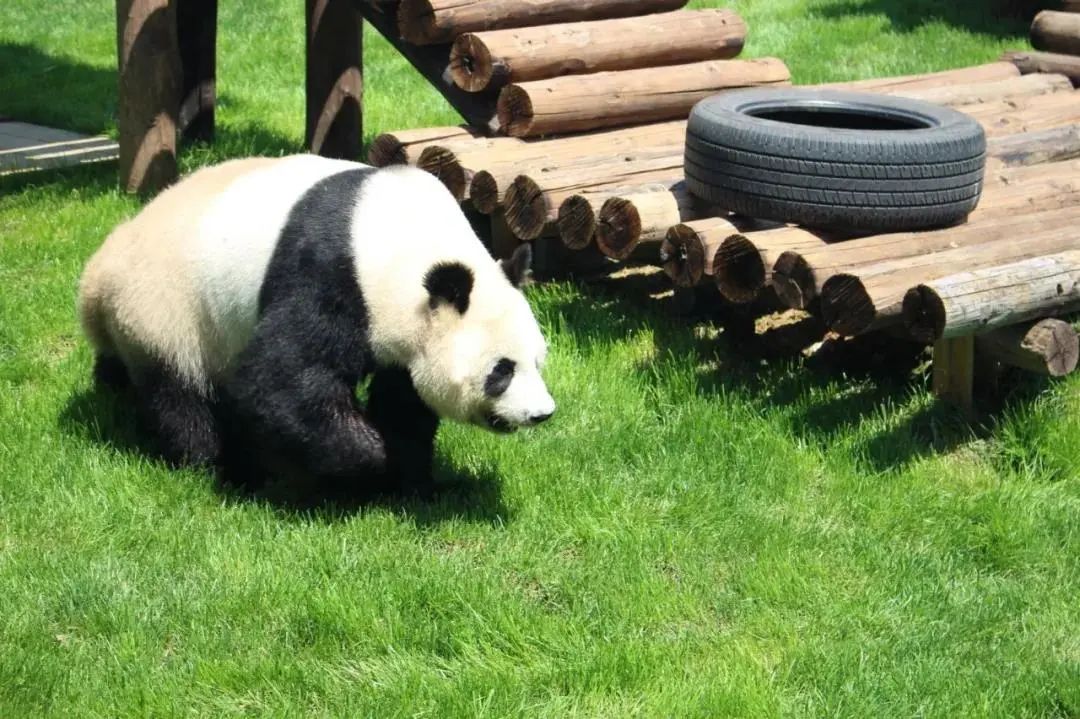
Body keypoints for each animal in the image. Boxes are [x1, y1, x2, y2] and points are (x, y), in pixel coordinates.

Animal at [78, 153, 557, 490]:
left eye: (538, 361)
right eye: (501, 370)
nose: (541, 414)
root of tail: (97, 277)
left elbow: (405, 398)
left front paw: (413, 474)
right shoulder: (329, 273)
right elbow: (279, 381)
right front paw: (373, 461)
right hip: (167, 306)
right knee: (179, 394)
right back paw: (219, 463)